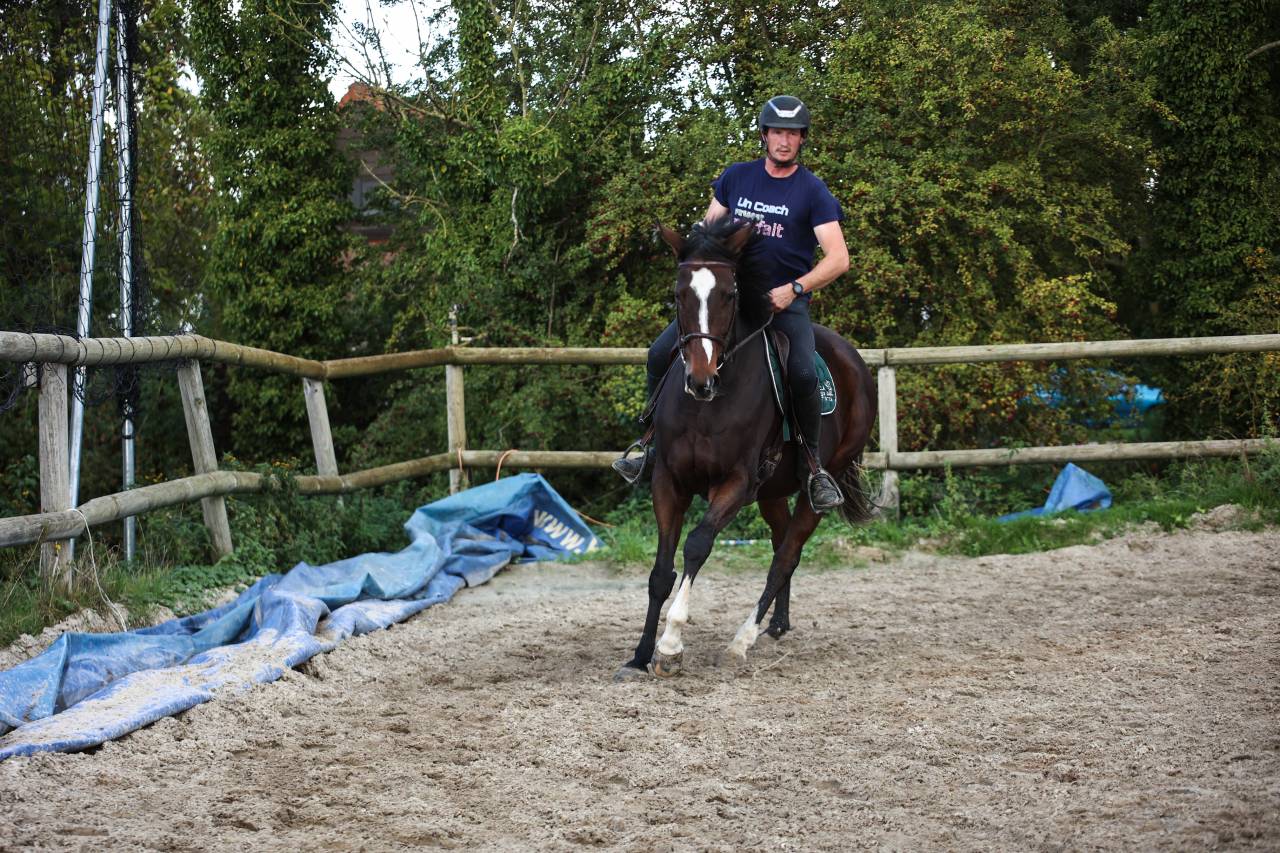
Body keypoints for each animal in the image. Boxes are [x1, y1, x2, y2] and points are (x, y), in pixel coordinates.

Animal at [617, 217, 878, 680]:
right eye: (678, 294)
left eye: (729, 294)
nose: (701, 380)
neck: (707, 406)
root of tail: (853, 360)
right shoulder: (667, 480)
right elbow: (661, 572)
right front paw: (640, 654)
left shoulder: (736, 483)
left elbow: (697, 545)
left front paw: (670, 645)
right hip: (771, 492)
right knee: (779, 541)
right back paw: (776, 623)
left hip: (816, 483)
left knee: (785, 556)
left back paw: (742, 641)